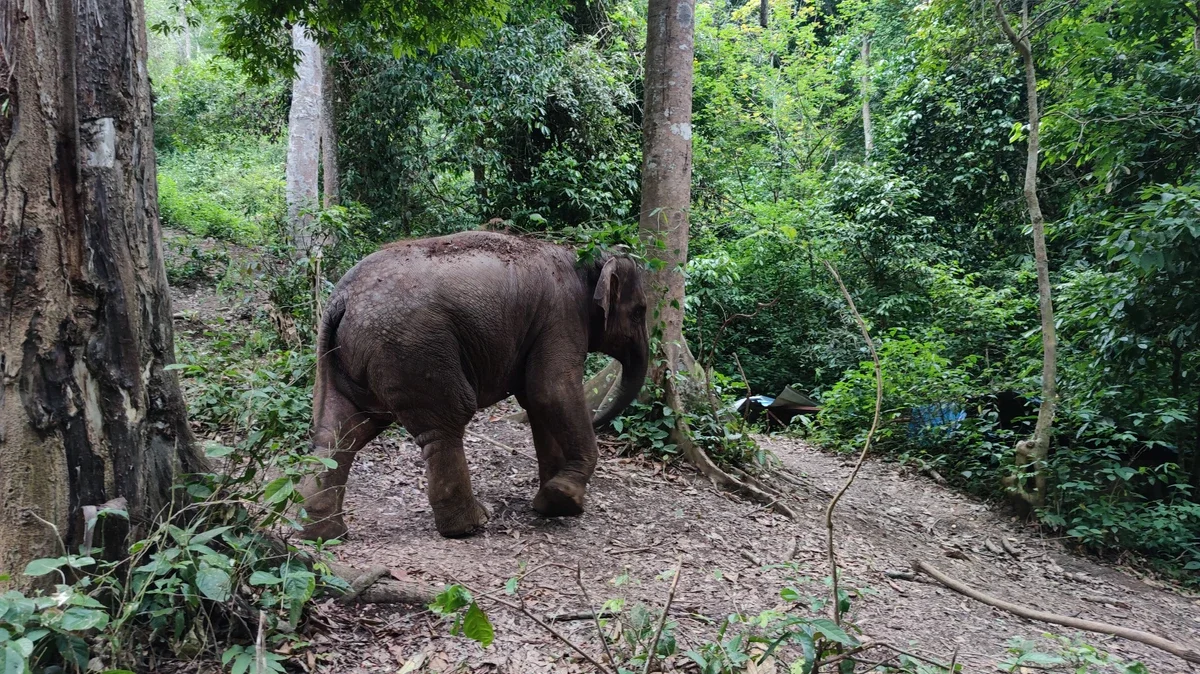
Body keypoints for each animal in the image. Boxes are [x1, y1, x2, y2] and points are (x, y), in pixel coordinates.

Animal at [297, 230, 649, 539]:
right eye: (640, 312)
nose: (600, 420)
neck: (584, 256)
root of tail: (341, 300)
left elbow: (537, 400)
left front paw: (549, 504)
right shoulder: (561, 316)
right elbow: (552, 391)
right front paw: (565, 498)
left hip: (342, 356)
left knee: (341, 433)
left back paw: (323, 533)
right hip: (413, 348)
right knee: (446, 422)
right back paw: (471, 525)